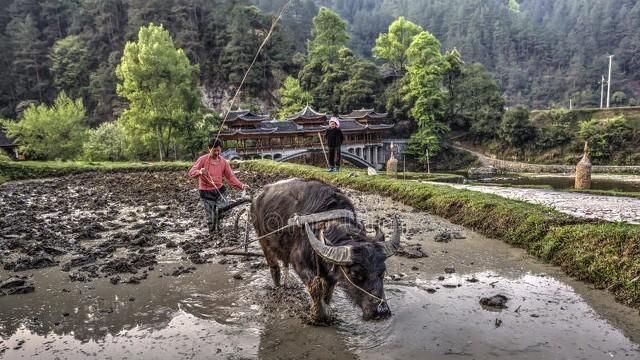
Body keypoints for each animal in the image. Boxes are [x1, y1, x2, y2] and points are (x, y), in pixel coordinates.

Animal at [250, 179, 400, 322]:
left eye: (382, 272)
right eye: (354, 273)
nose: (381, 311)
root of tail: (258, 197)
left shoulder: (331, 273)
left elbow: (327, 292)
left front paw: (327, 308)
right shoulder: (300, 263)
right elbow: (316, 288)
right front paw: (318, 315)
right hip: (263, 240)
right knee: (274, 269)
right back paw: (277, 287)